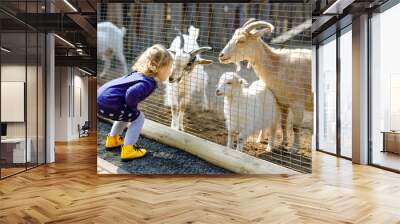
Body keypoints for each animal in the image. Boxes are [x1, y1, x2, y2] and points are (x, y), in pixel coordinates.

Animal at [219, 19, 312, 152]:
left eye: (241, 40)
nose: (221, 56)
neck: (278, 65)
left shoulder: (297, 101)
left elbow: (295, 126)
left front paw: (294, 148)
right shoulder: (282, 101)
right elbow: (283, 123)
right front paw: (283, 143)